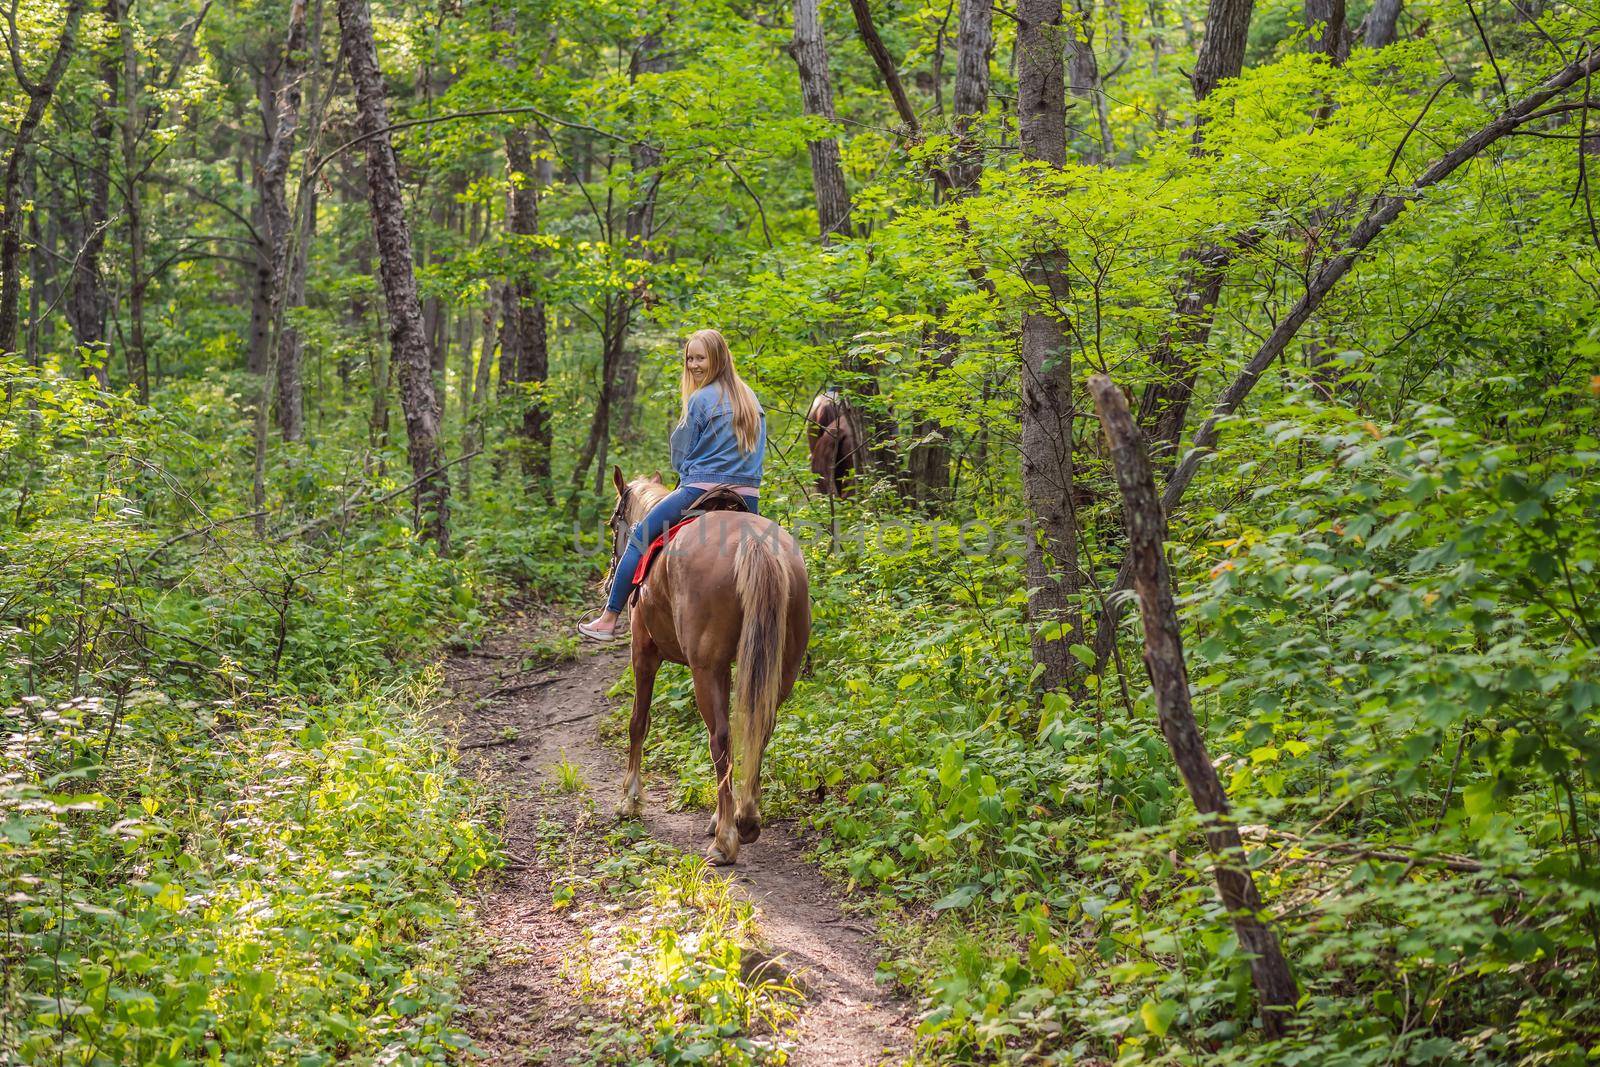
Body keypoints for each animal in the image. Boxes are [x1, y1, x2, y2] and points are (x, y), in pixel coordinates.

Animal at [604, 470, 819, 870]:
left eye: (614, 523)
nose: (611, 578)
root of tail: (754, 544)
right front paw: (722, 816)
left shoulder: (643, 651)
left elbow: (639, 721)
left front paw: (630, 800)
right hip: (782, 667)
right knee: (760, 729)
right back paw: (744, 820)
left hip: (705, 669)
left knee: (720, 738)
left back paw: (725, 842)